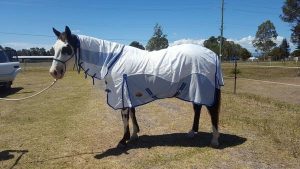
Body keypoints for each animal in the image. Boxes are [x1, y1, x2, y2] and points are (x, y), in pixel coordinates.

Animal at [49, 26, 223, 148]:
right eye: (54, 48)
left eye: (66, 48)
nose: (54, 72)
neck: (112, 60)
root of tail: (213, 55)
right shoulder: (128, 91)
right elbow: (132, 113)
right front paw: (134, 135)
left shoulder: (121, 92)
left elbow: (125, 116)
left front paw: (123, 140)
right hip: (195, 89)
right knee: (197, 108)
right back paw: (192, 132)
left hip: (205, 90)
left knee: (212, 111)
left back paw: (214, 140)